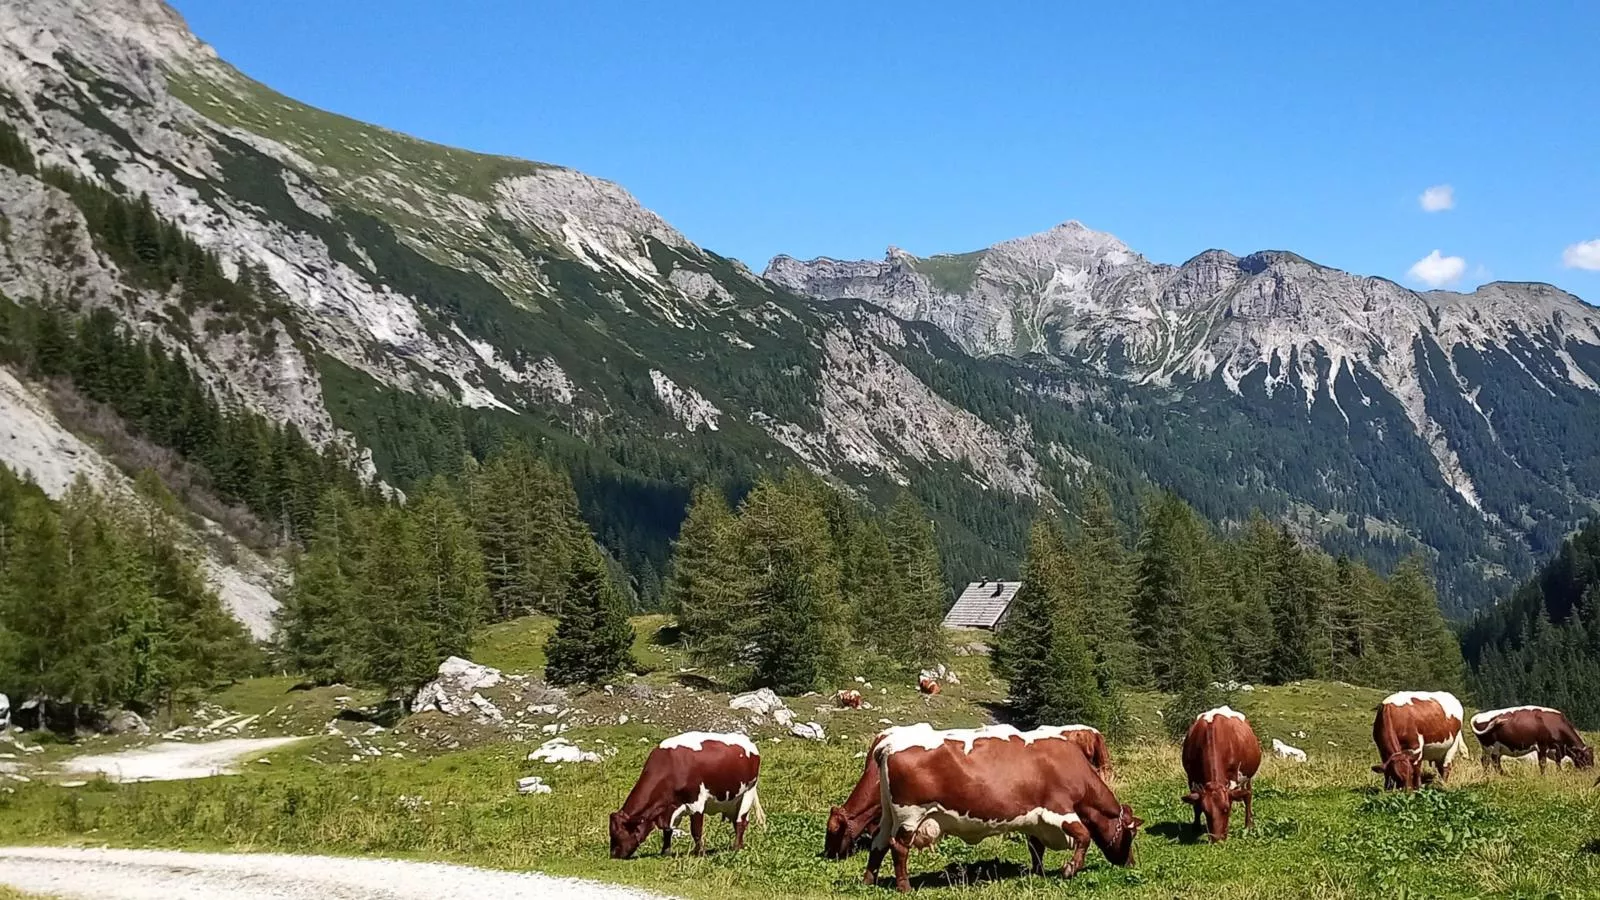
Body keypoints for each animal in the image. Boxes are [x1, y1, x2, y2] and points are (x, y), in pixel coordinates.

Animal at [608, 730, 764, 851]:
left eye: (618, 834)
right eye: (611, 833)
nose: (614, 855)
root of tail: (749, 743)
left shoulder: (696, 802)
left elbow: (696, 830)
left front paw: (699, 852)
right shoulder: (671, 807)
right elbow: (668, 830)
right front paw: (665, 851)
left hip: (748, 792)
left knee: (740, 822)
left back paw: (736, 848)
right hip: (731, 801)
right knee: (739, 821)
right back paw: (740, 846)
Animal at [864, 717, 1139, 883]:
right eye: (1131, 833)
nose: (1131, 863)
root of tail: (889, 741)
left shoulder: (1035, 818)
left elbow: (1036, 847)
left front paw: (1038, 873)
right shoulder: (1058, 810)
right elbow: (1084, 836)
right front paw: (1070, 869)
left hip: (889, 815)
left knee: (878, 842)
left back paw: (869, 880)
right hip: (909, 815)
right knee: (899, 847)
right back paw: (904, 886)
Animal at [1177, 701, 1260, 839]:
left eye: (1227, 809)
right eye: (1206, 811)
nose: (1217, 839)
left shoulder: (1233, 779)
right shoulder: (1191, 778)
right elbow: (1196, 804)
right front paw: (1196, 827)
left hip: (1248, 776)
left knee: (1248, 795)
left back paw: (1248, 825)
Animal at [1465, 701, 1593, 771]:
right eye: (1585, 758)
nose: (1590, 770)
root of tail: (1478, 716)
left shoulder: (1556, 750)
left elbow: (1558, 764)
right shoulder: (1542, 746)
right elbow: (1543, 764)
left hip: (1489, 748)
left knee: (1485, 761)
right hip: (1492, 747)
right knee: (1494, 762)